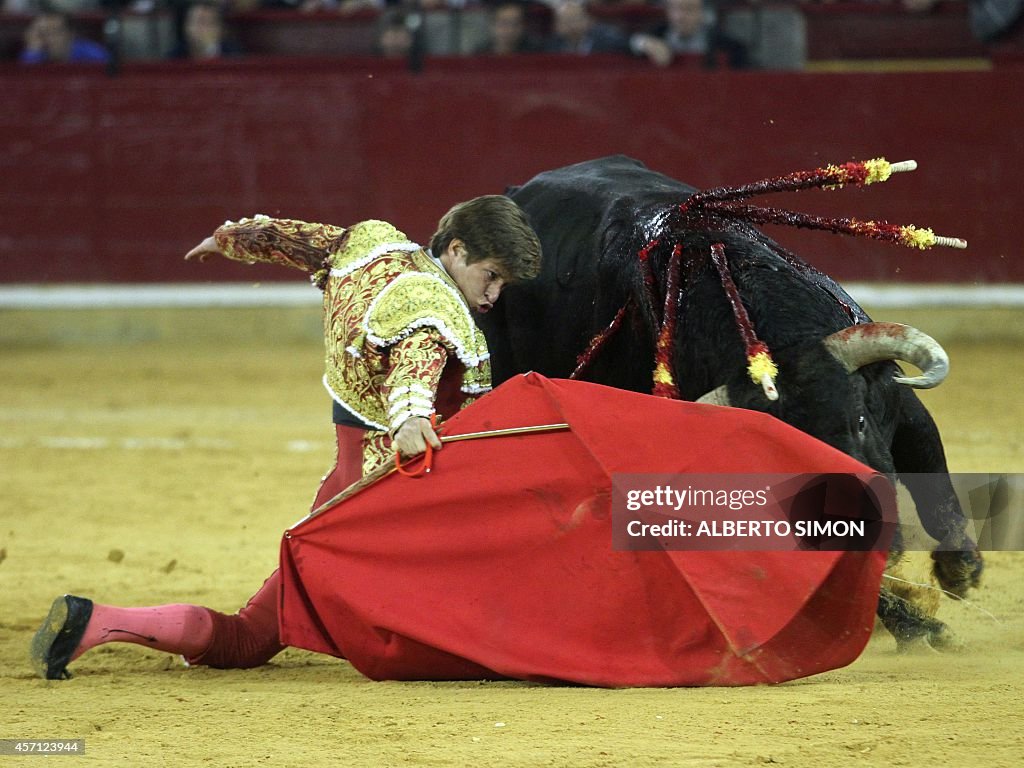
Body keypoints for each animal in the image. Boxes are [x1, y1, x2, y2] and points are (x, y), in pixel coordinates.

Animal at [479, 154, 983, 651]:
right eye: (780, 459)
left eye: (859, 422)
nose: (864, 527)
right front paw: (918, 627)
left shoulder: (904, 408)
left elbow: (937, 491)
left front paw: (961, 572)